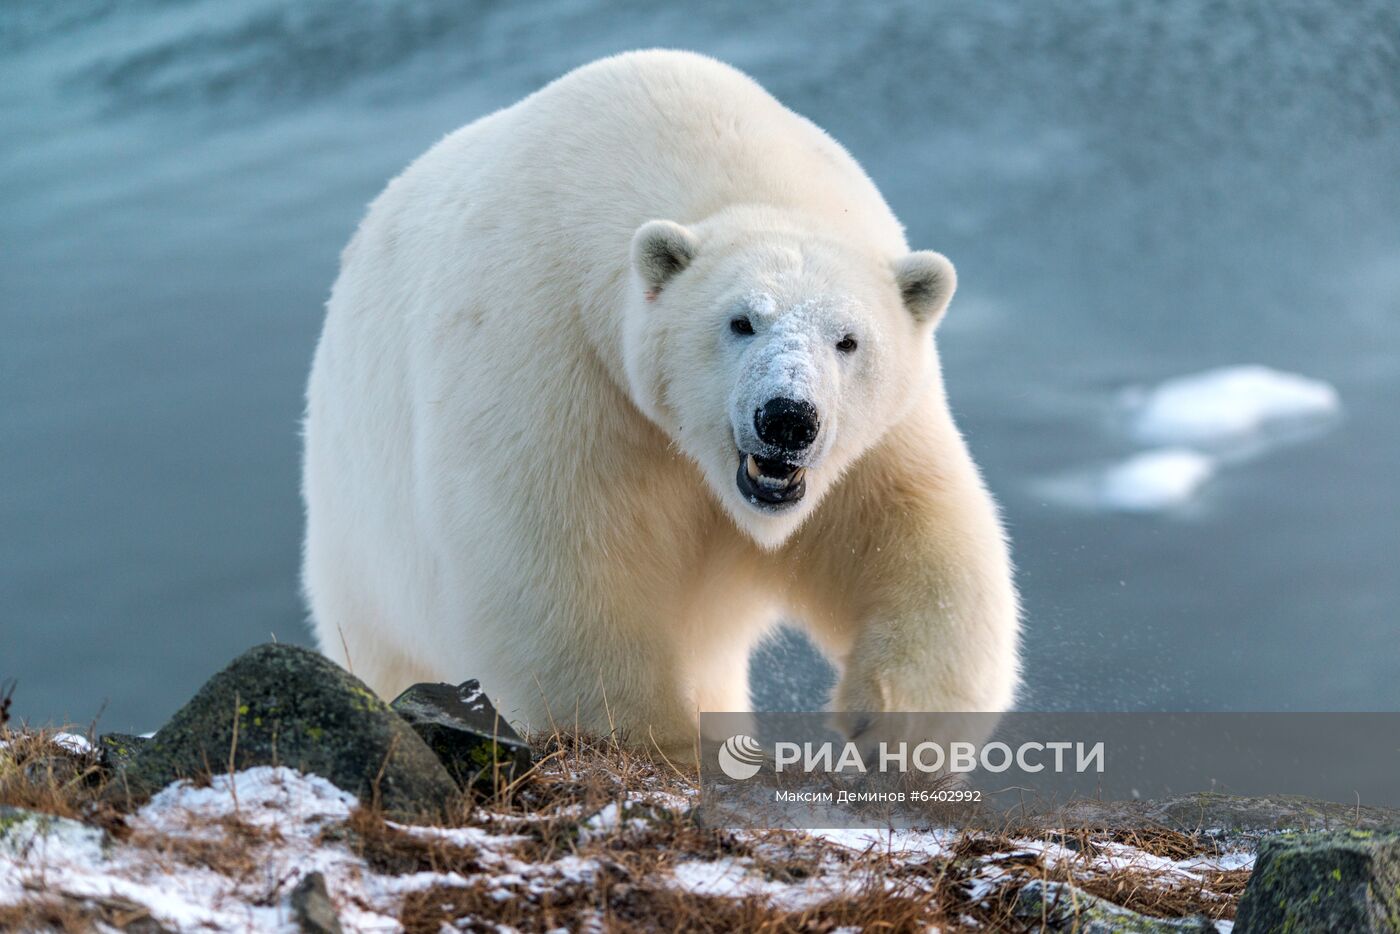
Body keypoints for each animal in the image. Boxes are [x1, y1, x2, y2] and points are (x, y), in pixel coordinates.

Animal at [303, 47, 1019, 756]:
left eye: (848, 340)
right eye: (740, 321)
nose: (788, 419)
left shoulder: (875, 437)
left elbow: (914, 532)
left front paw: (894, 725)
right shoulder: (554, 359)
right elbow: (558, 565)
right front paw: (655, 739)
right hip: (361, 551)